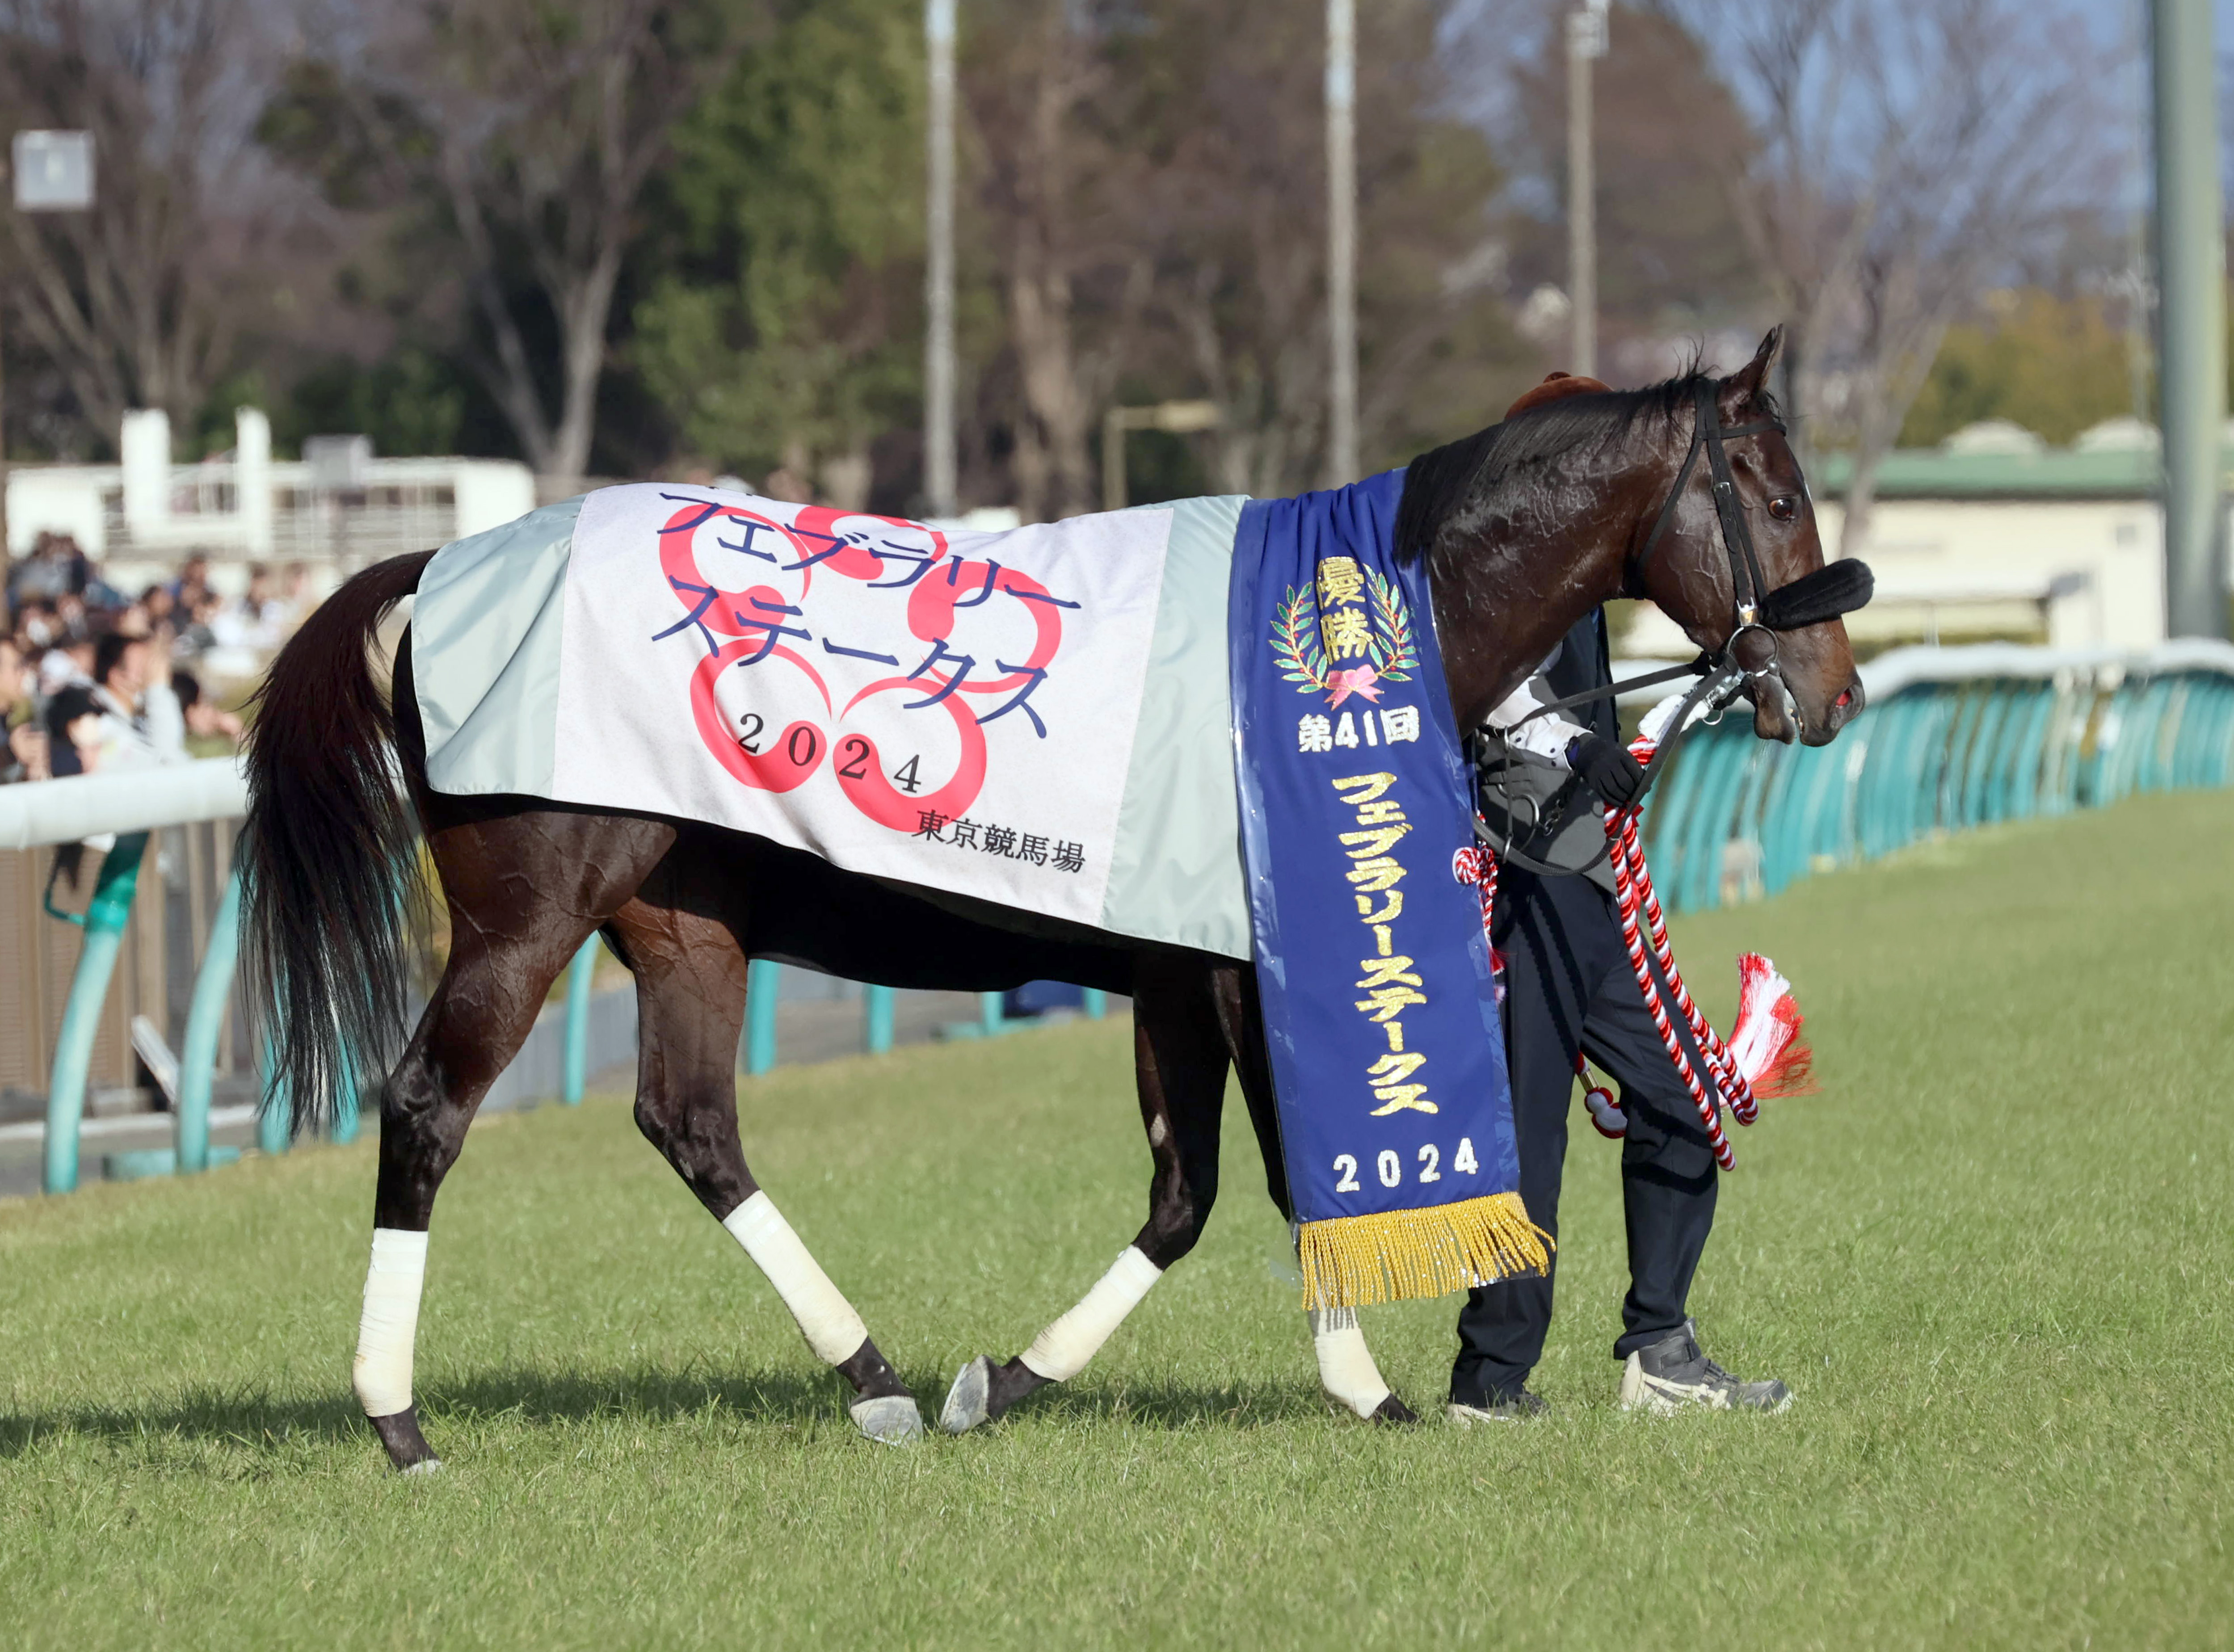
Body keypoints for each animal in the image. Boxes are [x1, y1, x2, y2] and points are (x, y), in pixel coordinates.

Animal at [236, 326, 1859, 1473]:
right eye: (1775, 493)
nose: (1832, 690)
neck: (1350, 634)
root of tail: (436, 560)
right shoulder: (1232, 969)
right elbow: (1278, 1180)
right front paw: (1363, 1387)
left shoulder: (1168, 970)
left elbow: (1180, 1197)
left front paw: (1000, 1380)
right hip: (528, 915)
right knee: (429, 1105)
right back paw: (395, 1417)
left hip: (681, 919)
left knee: (692, 1125)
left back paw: (875, 1381)